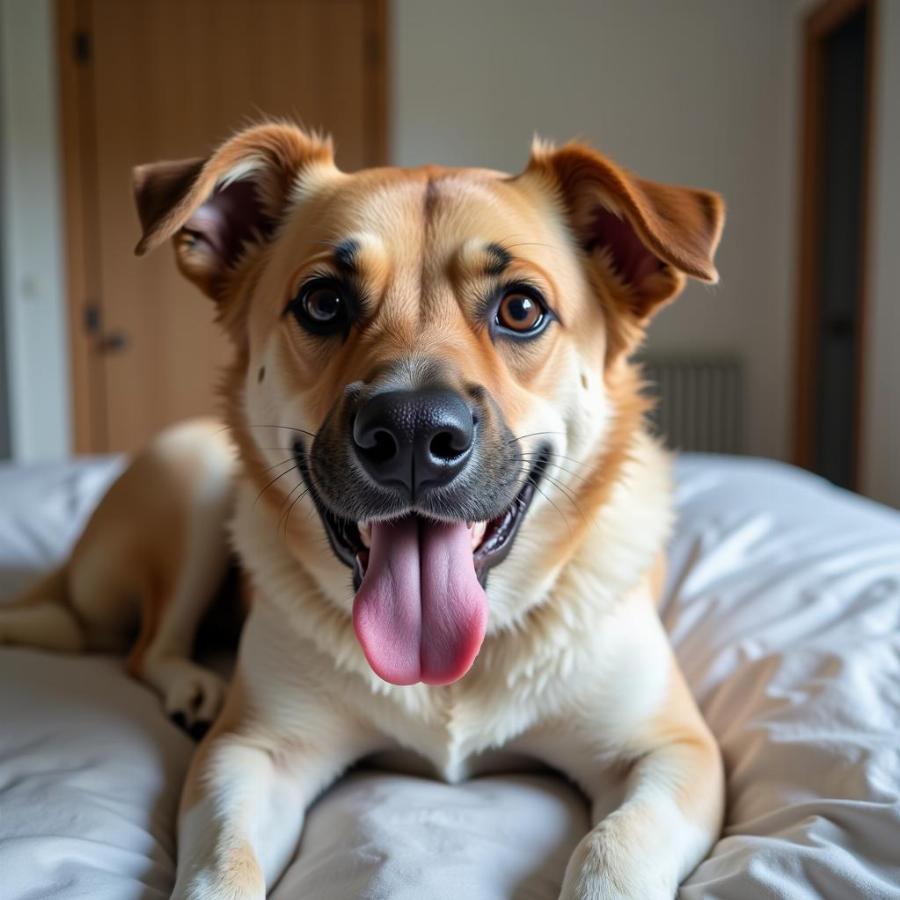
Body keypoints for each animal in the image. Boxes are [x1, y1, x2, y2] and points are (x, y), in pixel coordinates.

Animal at [0, 121, 724, 900]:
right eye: (322, 303)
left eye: (522, 309)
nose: (411, 436)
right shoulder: (252, 750)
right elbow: (221, 862)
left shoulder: (674, 751)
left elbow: (614, 845)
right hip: (191, 476)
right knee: (145, 646)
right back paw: (193, 685)